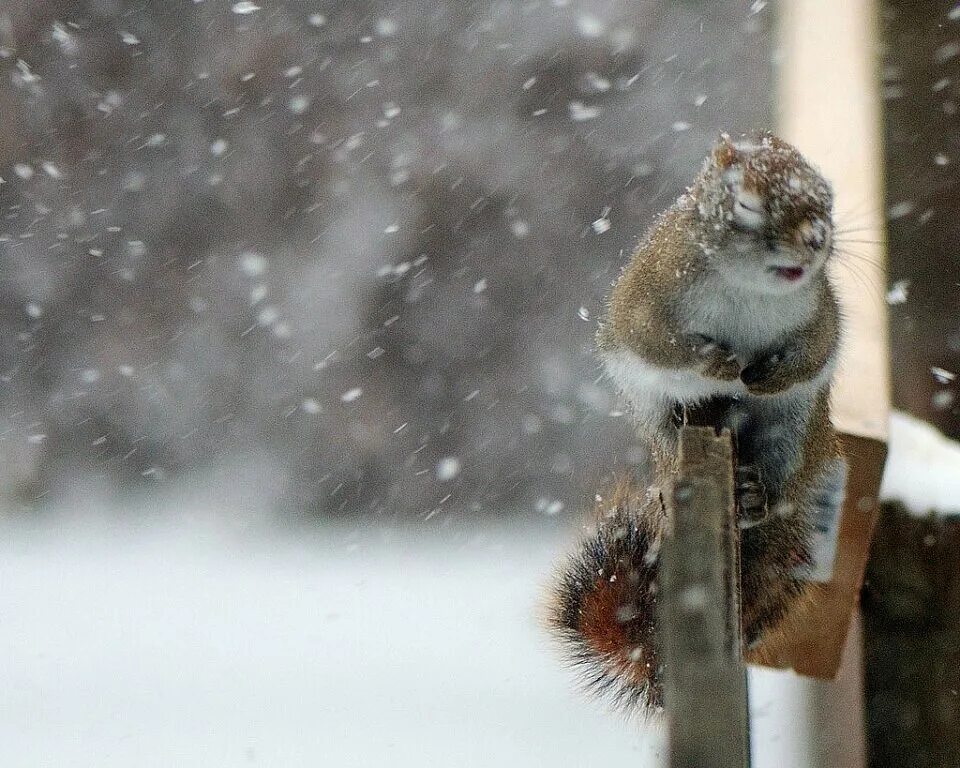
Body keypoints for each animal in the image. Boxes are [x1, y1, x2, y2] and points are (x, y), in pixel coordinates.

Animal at [548, 132, 848, 712]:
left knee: (776, 485)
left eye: (826, 198)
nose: (816, 238)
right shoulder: (647, 301)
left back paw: (754, 497)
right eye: (747, 204)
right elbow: (658, 343)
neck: (751, 291)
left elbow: (815, 351)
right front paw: (720, 363)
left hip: (793, 434)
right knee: (670, 444)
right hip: (658, 420)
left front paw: (767, 374)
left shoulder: (820, 312)